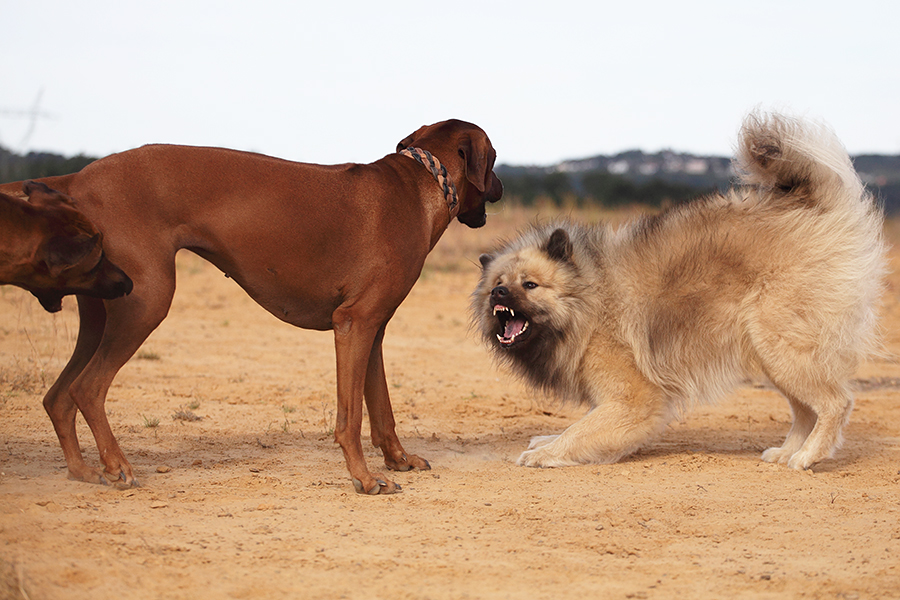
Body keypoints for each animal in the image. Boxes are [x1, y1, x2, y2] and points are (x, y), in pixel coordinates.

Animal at [472, 112, 884, 468]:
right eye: (497, 285)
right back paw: (787, 452)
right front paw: (547, 441)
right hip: (774, 358)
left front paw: (545, 452)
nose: (499, 296)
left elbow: (581, 430)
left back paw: (807, 456)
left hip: (783, 349)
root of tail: (815, 209)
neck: (589, 298)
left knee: (835, 403)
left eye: (529, 285)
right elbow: (580, 425)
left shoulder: (634, 399)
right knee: (805, 409)